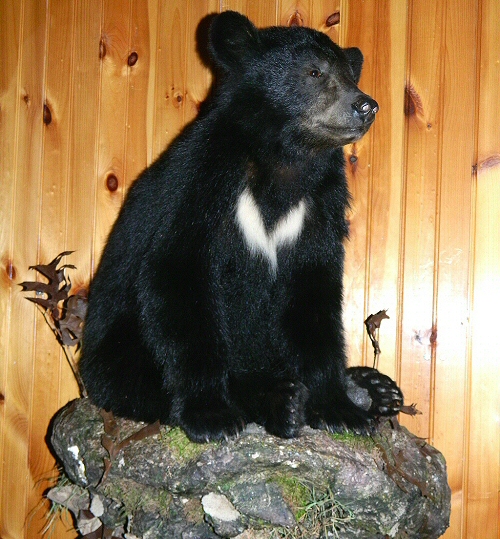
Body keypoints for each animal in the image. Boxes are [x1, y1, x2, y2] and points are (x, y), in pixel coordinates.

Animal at [80, 11, 404, 442]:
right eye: (314, 72)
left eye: (350, 75)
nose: (366, 105)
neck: (285, 161)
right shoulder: (202, 183)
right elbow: (178, 274)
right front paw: (212, 415)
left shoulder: (319, 208)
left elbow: (313, 293)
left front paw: (342, 410)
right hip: (116, 341)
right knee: (134, 378)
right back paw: (282, 401)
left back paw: (375, 388)